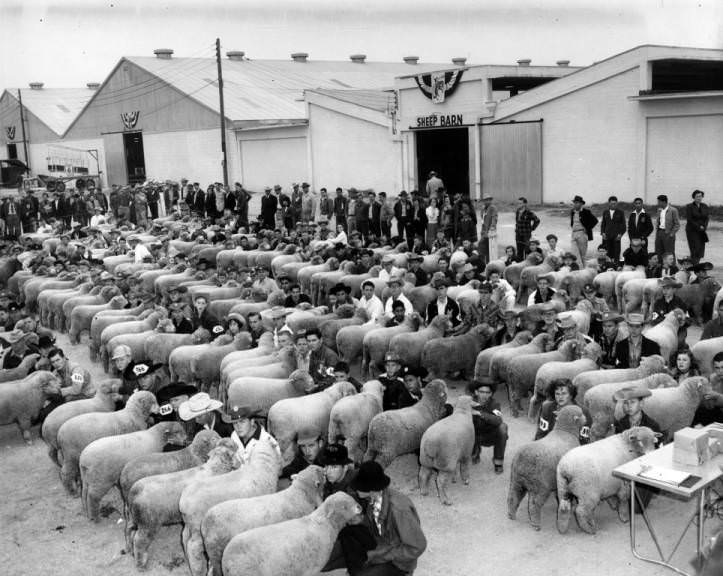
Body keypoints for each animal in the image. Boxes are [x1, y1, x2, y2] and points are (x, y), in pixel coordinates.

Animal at [129, 438, 242, 568]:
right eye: (233, 449)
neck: (214, 468)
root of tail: (135, 490)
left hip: (139, 520)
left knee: (132, 533)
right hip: (148, 523)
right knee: (139, 541)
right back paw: (140, 564)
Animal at [180, 436, 282, 576]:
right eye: (276, 446)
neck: (261, 467)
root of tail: (183, 503)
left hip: (189, 525)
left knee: (184, 538)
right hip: (196, 527)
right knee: (193, 548)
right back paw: (198, 570)